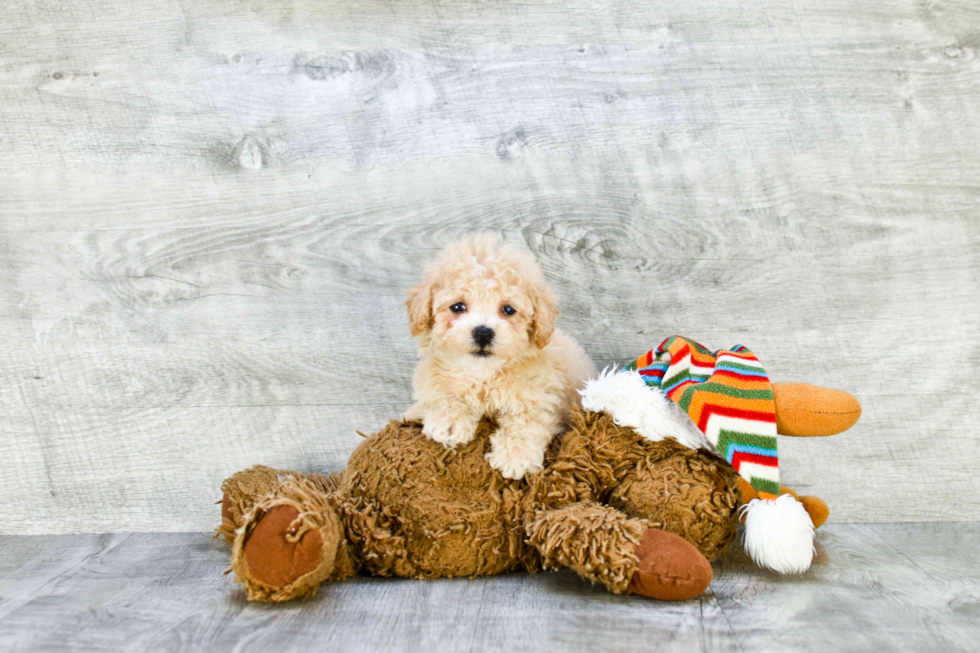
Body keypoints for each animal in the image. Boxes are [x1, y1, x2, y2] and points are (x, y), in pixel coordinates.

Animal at [402, 236, 592, 478]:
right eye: (457, 307)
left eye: (508, 310)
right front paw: (448, 422)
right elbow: (444, 393)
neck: (483, 374)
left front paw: (516, 456)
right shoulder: (434, 375)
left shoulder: (540, 395)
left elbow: (527, 421)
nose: (483, 332)